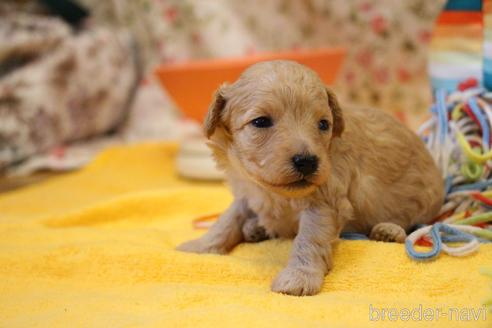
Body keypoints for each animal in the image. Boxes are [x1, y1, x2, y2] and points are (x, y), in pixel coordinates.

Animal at [178, 60, 446, 296]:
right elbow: (227, 220)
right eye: (261, 121)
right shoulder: (247, 192)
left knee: (412, 223)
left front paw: (299, 277)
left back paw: (388, 230)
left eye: (323, 124)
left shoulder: (325, 202)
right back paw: (255, 228)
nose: (307, 161)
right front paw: (200, 246)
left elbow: (308, 239)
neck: (273, 192)